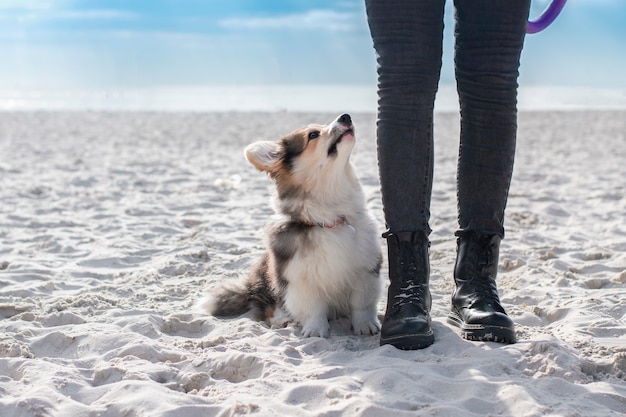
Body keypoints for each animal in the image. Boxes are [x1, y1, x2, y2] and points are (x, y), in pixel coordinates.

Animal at [200, 114, 380, 338]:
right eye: (313, 135)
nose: (346, 116)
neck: (328, 218)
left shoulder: (365, 272)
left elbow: (362, 305)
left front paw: (366, 325)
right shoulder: (300, 280)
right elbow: (313, 309)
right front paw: (315, 331)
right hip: (266, 281)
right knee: (267, 307)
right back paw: (282, 319)